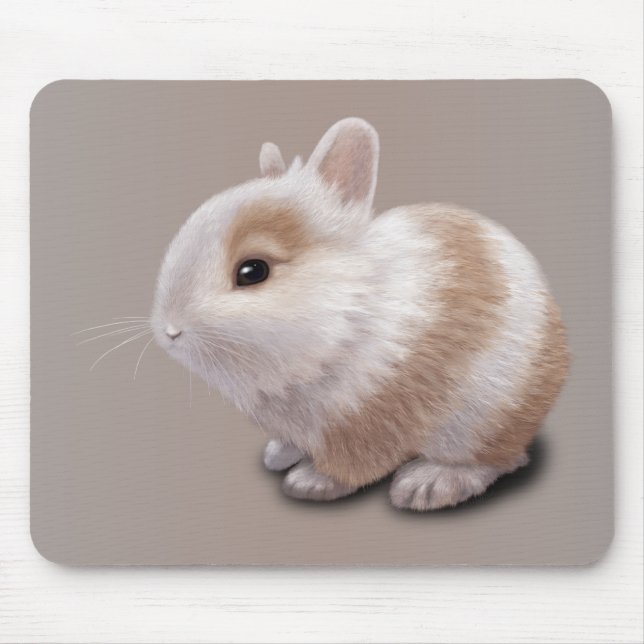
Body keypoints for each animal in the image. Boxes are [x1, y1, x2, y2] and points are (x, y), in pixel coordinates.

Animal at [151, 117, 570, 511]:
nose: (170, 331)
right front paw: (279, 455)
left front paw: (311, 483)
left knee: (496, 459)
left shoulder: (368, 420)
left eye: (253, 271)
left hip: (485, 420)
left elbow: (352, 465)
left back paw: (428, 485)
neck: (346, 317)